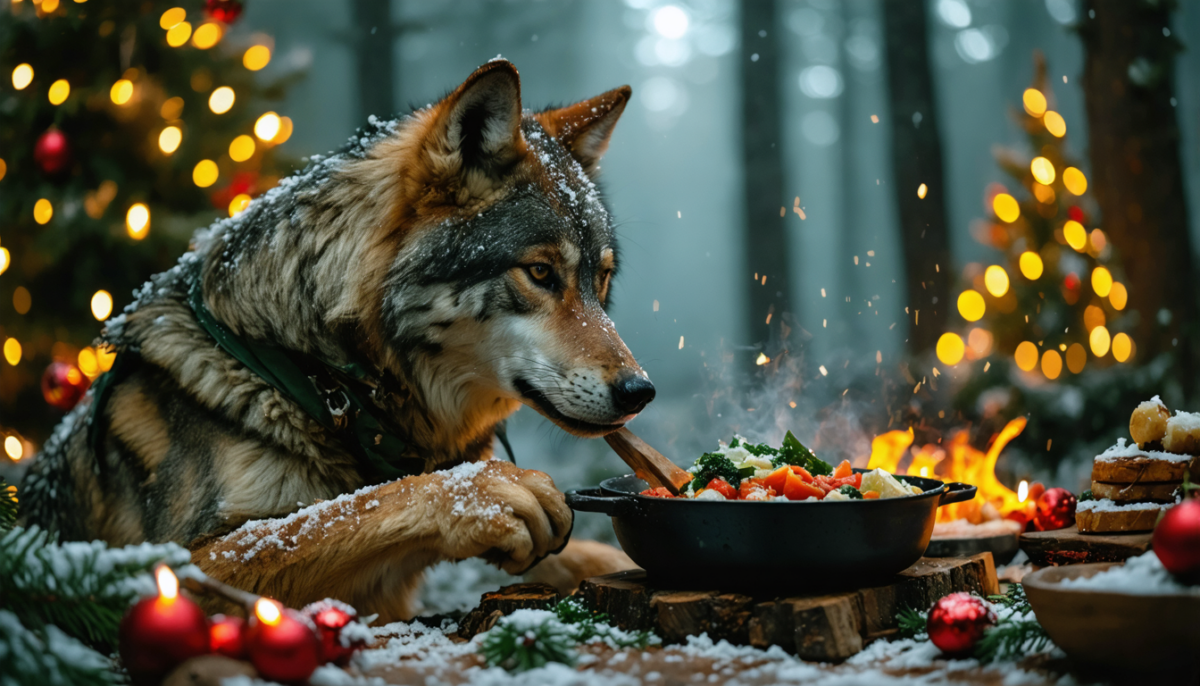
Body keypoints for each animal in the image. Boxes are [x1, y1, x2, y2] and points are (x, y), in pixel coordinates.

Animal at [19, 60, 654, 620]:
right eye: (540, 273)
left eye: (600, 280)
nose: (639, 392)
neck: (316, 377)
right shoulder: (158, 566)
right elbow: (338, 513)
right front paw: (485, 493)